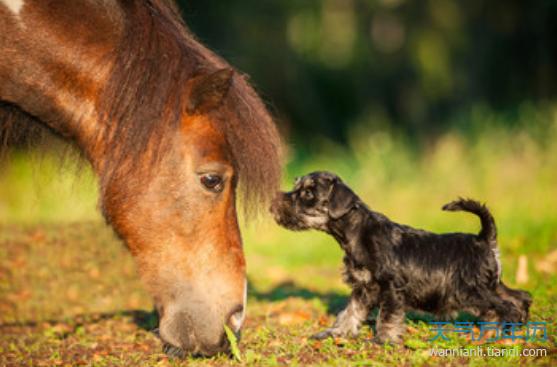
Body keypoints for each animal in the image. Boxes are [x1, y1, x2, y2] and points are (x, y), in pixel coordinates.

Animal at [270, 172, 528, 344]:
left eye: (308, 193)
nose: (273, 203)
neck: (357, 232)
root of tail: (484, 239)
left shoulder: (390, 288)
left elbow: (386, 317)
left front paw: (382, 340)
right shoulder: (363, 288)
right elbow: (350, 312)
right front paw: (335, 333)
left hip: (470, 291)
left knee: (505, 307)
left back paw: (500, 334)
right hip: (491, 285)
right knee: (520, 298)